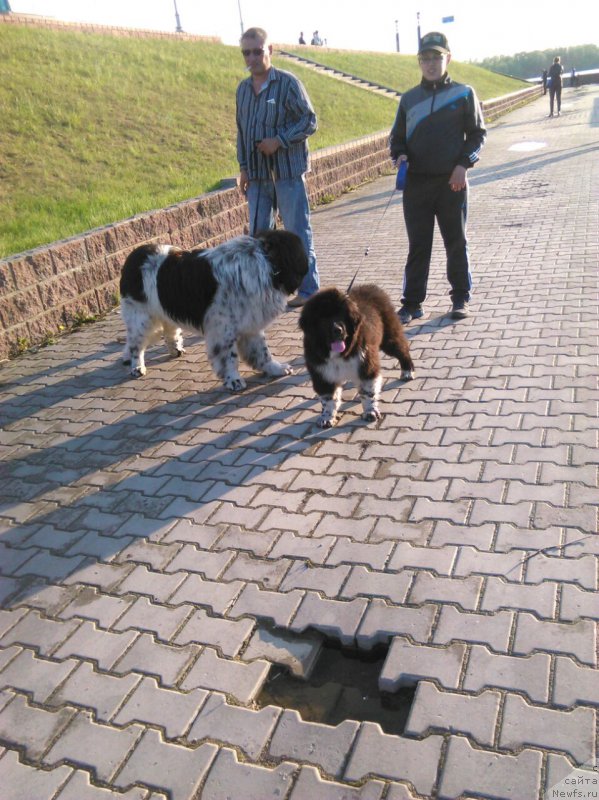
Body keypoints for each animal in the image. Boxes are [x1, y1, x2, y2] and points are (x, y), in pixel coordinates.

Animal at [119, 228, 308, 390]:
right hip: (141, 318)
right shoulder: (222, 329)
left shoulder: (251, 324)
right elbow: (229, 357)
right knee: (136, 345)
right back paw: (137, 367)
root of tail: (132, 256)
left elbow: (262, 352)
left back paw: (175, 350)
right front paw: (233, 380)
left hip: (164, 308)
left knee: (169, 331)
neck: (262, 261)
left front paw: (275, 368)